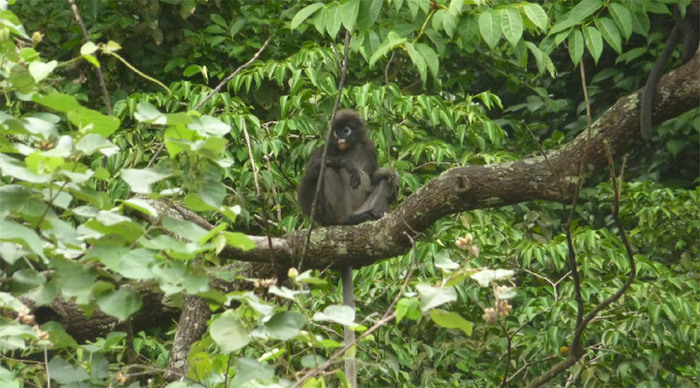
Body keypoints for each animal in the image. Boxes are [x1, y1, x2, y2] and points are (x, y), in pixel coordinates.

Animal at [296, 108, 400, 384]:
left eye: (346, 130)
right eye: (336, 131)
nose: (340, 137)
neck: (350, 147)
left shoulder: (368, 147)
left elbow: (376, 175)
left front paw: (388, 174)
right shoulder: (326, 148)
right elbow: (315, 169)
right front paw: (346, 163)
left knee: (382, 185)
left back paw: (370, 216)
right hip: (327, 214)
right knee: (329, 173)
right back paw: (346, 219)